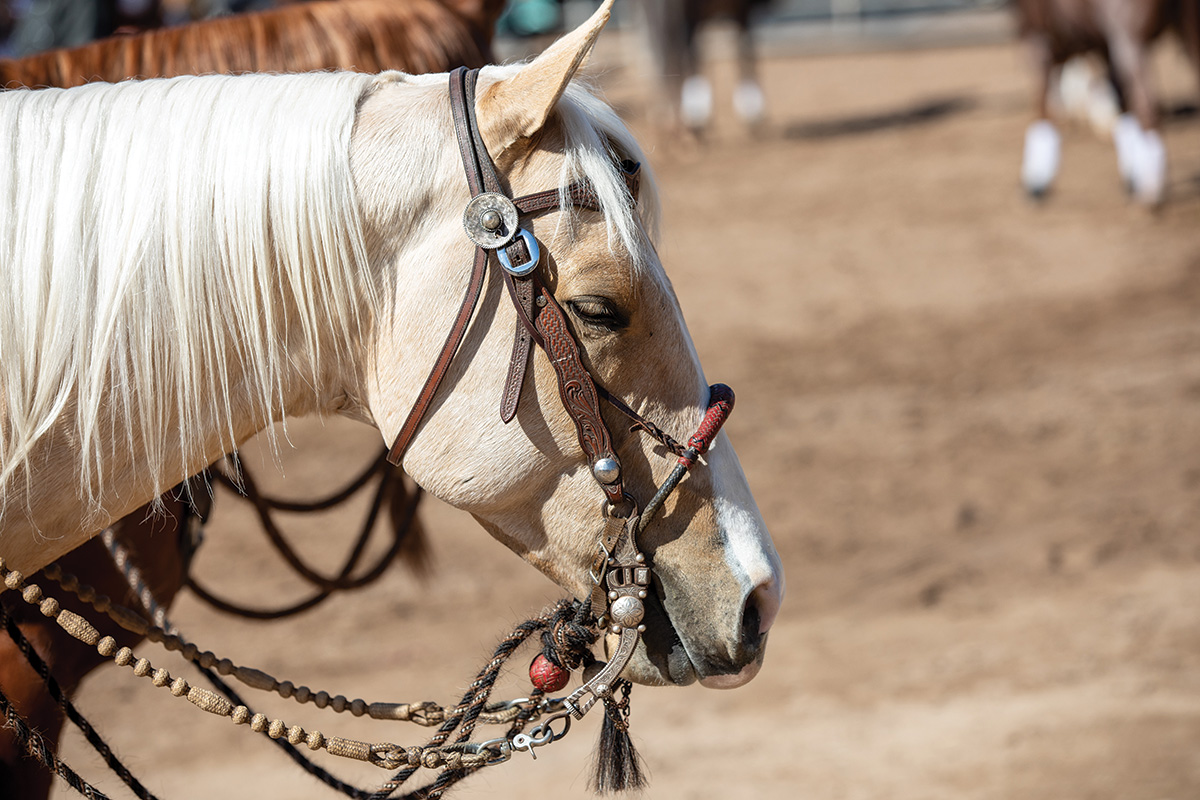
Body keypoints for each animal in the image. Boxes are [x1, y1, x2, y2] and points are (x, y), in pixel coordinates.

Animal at [1012, 0, 1200, 206]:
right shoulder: (1103, 45)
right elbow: (1121, 100)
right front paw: (1131, 175)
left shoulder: (1037, 39)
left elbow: (1041, 103)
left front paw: (1037, 179)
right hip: (1186, 31)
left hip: (1130, 41)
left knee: (1148, 105)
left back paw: (1150, 192)